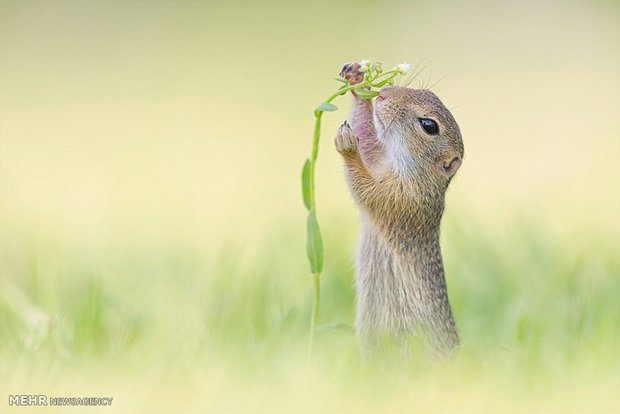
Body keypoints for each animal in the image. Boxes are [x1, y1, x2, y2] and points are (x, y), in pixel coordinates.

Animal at [334, 61, 464, 360]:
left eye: (429, 125)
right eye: (427, 91)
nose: (384, 93)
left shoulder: (402, 198)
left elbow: (366, 188)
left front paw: (347, 146)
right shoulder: (380, 160)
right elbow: (368, 139)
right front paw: (357, 81)